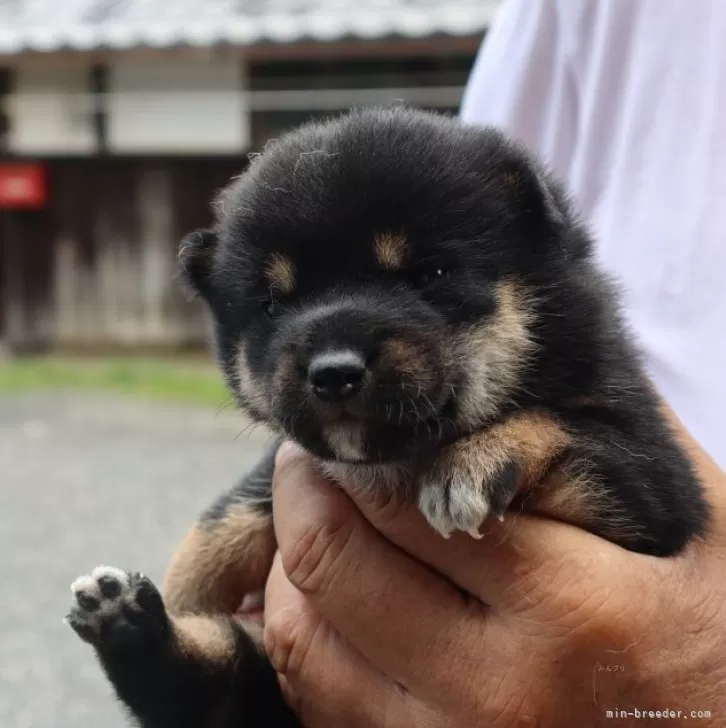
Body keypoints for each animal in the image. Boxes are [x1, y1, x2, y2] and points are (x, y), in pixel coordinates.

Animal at [65, 108, 708, 728]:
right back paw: (120, 614)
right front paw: (190, 579)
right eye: (272, 306)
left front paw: (473, 462)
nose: (333, 372)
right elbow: (240, 505)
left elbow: (564, 427)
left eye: (430, 276)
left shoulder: (655, 489)